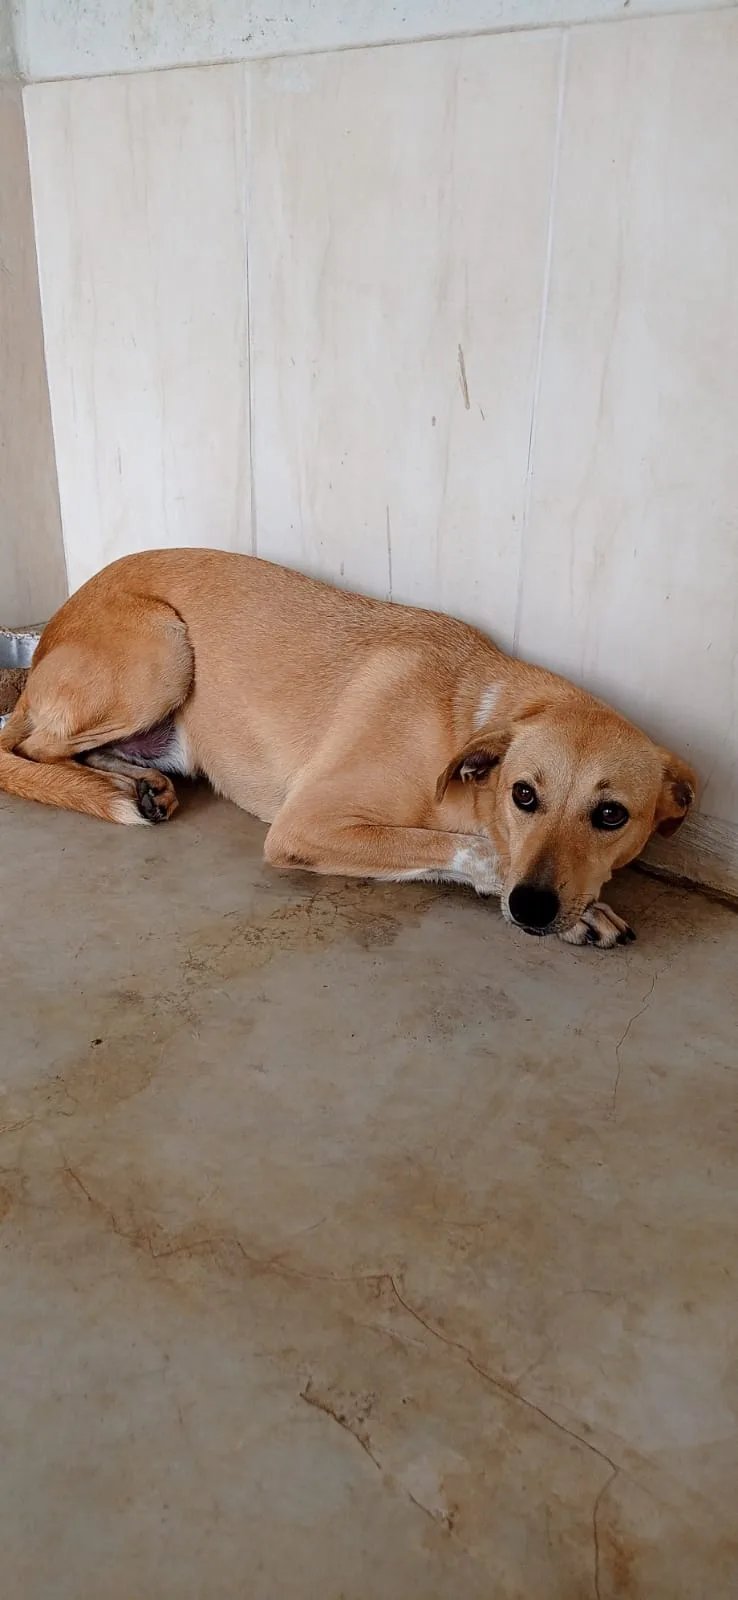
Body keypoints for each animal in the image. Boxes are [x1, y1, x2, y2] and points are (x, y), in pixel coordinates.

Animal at [0, 550, 694, 947]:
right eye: (524, 795)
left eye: (611, 815)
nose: (533, 906)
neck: (467, 722)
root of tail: (43, 649)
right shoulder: (305, 824)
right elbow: (471, 850)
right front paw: (565, 906)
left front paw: (582, 907)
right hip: (163, 651)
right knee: (33, 751)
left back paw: (136, 784)